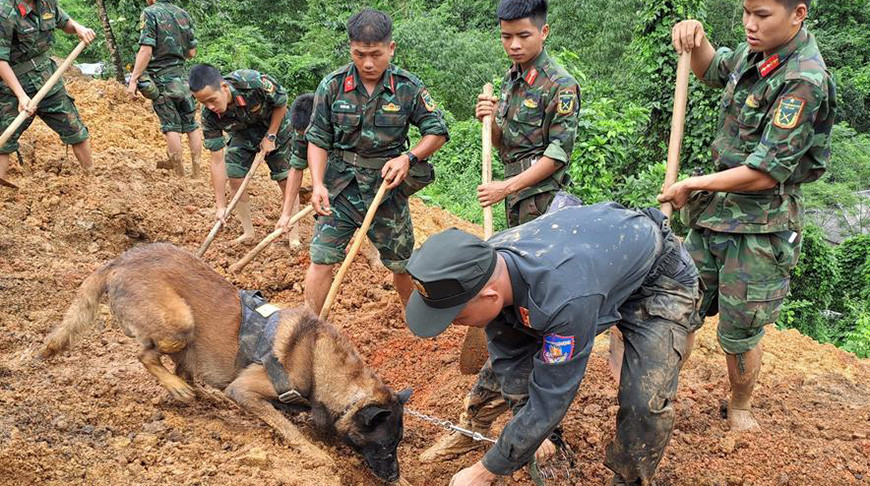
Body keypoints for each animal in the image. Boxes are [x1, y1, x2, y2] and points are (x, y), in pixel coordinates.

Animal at [37, 243, 412, 482]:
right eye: (385, 445)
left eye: (397, 445)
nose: (394, 475)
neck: (321, 364)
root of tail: (118, 262)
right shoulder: (245, 391)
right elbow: (286, 425)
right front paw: (313, 454)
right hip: (180, 324)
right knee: (146, 355)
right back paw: (179, 389)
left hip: (188, 341)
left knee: (181, 367)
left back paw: (199, 393)